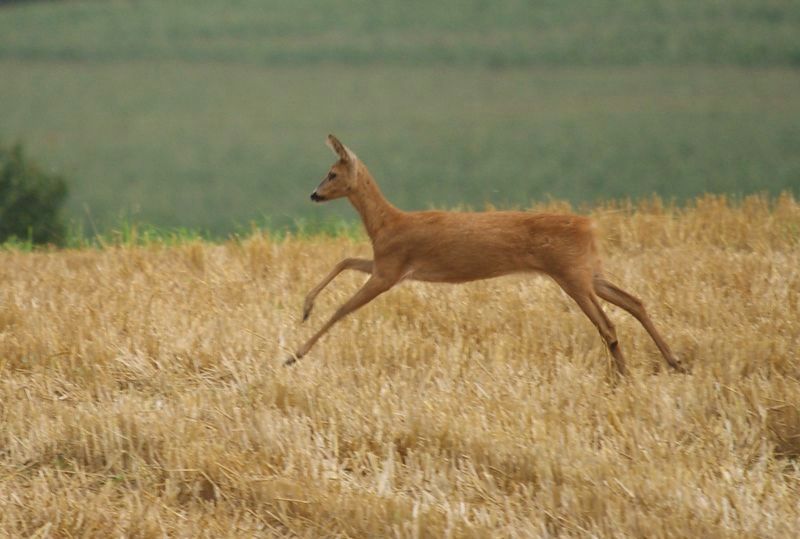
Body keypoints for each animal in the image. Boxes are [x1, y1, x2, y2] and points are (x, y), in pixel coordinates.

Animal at [284, 135, 684, 376]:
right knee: (633, 301)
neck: (385, 224)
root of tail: (590, 227)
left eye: (332, 173)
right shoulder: (387, 264)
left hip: (570, 274)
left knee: (608, 323)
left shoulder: (389, 270)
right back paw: (674, 361)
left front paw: (294, 354)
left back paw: (625, 374)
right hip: (589, 271)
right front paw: (304, 308)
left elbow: (342, 308)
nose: (313, 194)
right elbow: (344, 261)